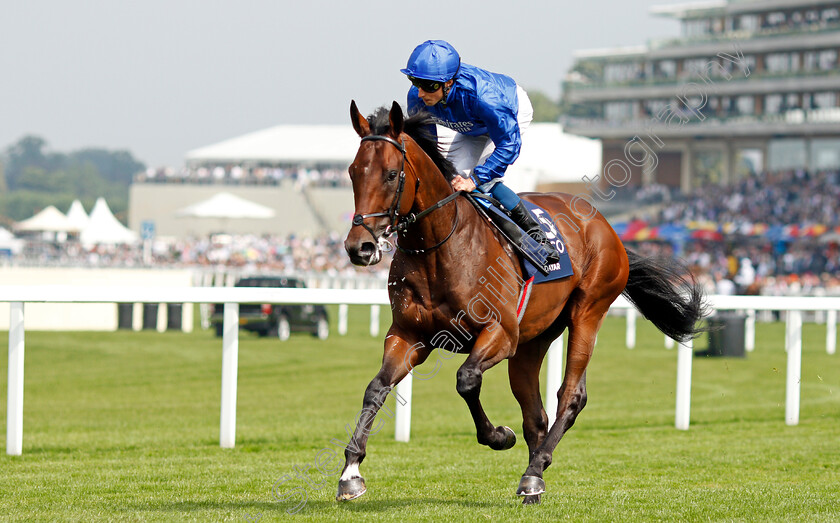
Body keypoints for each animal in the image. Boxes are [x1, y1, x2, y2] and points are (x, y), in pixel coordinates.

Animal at [338, 100, 700, 506]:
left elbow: (466, 380)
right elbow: (376, 388)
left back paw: (534, 472)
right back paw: (534, 481)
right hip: (533, 341)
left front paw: (498, 436)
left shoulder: (500, 333)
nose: (359, 247)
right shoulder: (408, 335)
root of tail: (607, 227)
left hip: (588, 310)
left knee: (570, 396)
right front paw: (351, 473)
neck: (440, 248)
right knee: (536, 414)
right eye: (353, 172)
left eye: (390, 174)